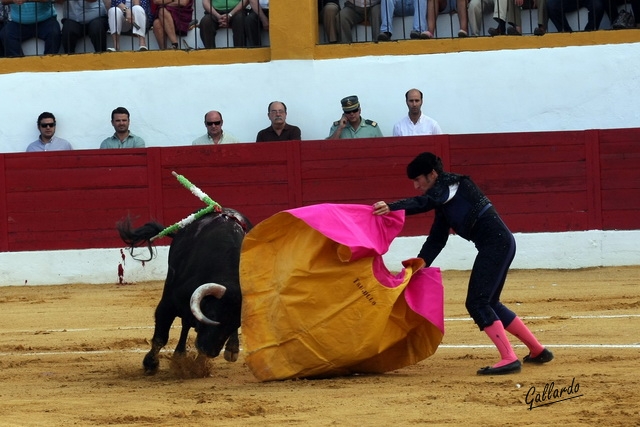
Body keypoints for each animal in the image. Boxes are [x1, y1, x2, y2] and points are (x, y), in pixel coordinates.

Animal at [117, 209, 252, 376]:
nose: (210, 351)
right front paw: (150, 364)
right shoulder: (167, 304)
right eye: (213, 315)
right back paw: (179, 355)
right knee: (185, 324)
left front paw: (199, 366)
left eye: (236, 323)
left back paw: (230, 349)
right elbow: (161, 337)